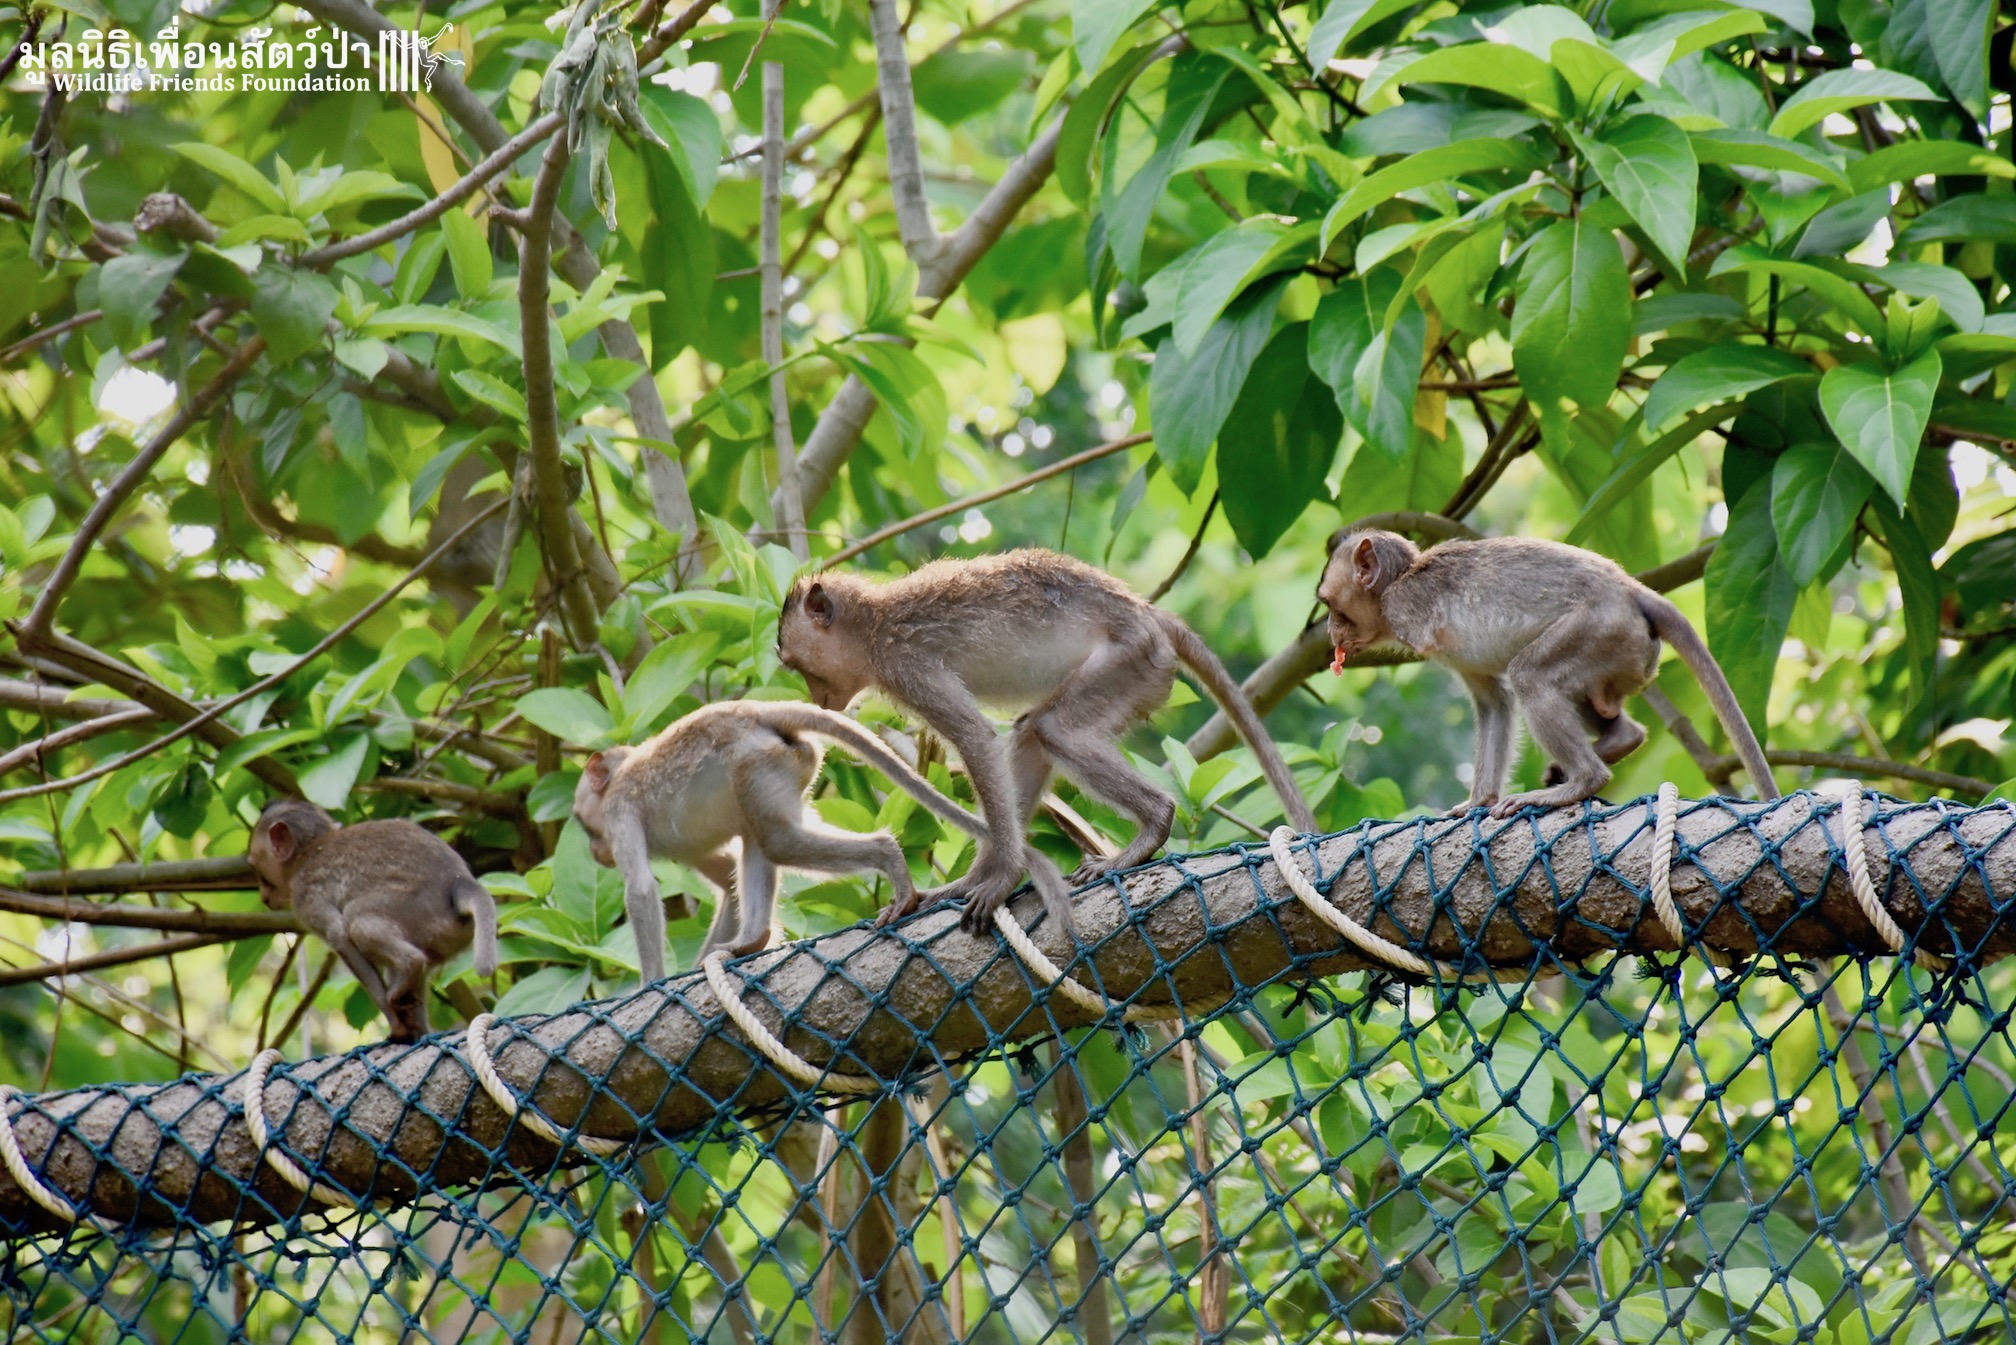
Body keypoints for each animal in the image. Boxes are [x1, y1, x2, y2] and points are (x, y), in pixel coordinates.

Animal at [246, 798, 499, 1040]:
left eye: (259, 870)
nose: (263, 896)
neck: (308, 852)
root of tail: (458, 881)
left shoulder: (305, 897)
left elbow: (339, 934)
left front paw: (396, 1023)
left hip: (416, 910)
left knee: (358, 921)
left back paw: (409, 967)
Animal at [568, 705, 1072, 980]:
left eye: (582, 823)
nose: (593, 853)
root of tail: (757, 712)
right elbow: (726, 879)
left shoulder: (619, 811)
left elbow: (640, 891)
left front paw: (649, 982)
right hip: (780, 765)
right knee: (761, 838)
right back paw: (754, 940)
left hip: (754, 760)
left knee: (778, 842)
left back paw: (890, 862)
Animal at [774, 548, 1322, 935]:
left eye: (799, 666)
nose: (818, 699)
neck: (873, 624)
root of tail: (1146, 613)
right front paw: (987, 876)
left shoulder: (905, 666)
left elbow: (973, 737)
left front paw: (1004, 875)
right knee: (1032, 733)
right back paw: (976, 876)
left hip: (1130, 660)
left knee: (1055, 730)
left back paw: (1151, 826)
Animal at [1322, 532, 1782, 814]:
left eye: (1329, 605)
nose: (1329, 632)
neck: (1399, 581)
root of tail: (1631, 590)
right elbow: (1494, 702)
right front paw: (1479, 800)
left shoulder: (1408, 611)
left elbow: (1506, 689)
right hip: (1625, 651)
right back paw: (1620, 738)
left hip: (1599, 628)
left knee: (1531, 676)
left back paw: (1581, 781)